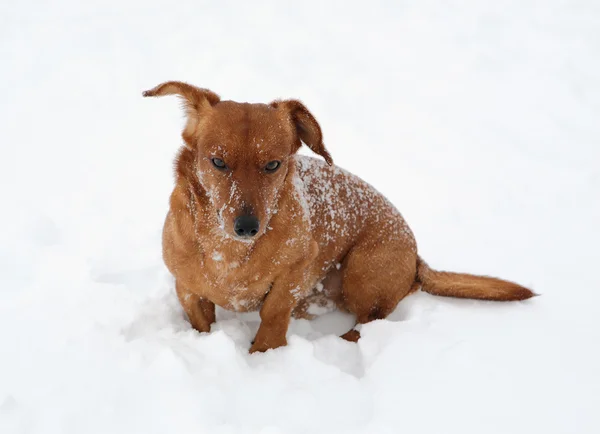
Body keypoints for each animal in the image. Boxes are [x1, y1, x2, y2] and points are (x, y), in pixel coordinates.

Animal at [144, 80, 536, 352]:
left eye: (273, 165)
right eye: (217, 162)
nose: (247, 227)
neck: (228, 251)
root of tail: (418, 260)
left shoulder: (298, 269)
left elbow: (273, 313)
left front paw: (263, 358)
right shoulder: (188, 290)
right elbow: (200, 322)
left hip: (361, 272)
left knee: (370, 322)